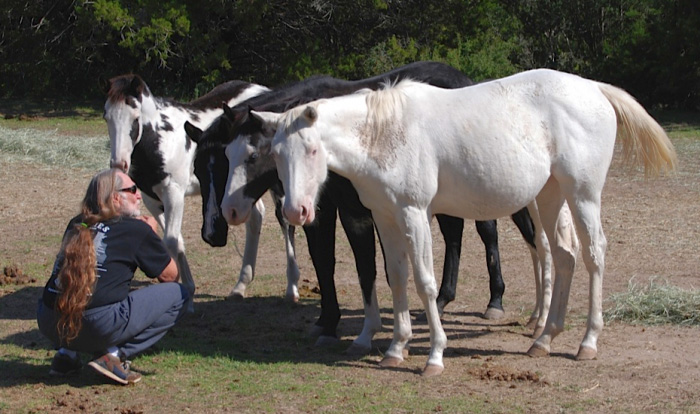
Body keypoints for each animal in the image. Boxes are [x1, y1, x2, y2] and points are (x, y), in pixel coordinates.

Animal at [102, 75, 270, 308]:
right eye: (106, 117)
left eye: (135, 118)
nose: (119, 164)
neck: (160, 140)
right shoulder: (151, 200)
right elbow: (176, 241)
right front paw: (182, 286)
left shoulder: (174, 194)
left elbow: (171, 240)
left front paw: (185, 293)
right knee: (255, 216)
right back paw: (240, 285)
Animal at [186, 61, 552, 352]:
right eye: (200, 168)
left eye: (250, 156)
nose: (220, 221)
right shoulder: (322, 212)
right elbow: (326, 262)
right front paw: (327, 321)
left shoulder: (355, 212)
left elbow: (368, 268)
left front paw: (364, 330)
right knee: (455, 235)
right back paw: (445, 299)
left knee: (490, 232)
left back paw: (496, 301)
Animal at [256, 69, 680, 376]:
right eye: (276, 153)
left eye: (312, 149)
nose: (295, 211)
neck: (384, 133)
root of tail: (593, 89)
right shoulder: (385, 217)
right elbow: (396, 279)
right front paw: (396, 348)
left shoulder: (414, 213)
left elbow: (425, 282)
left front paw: (434, 356)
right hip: (549, 196)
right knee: (563, 257)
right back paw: (544, 339)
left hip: (583, 195)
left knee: (593, 255)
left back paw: (587, 342)